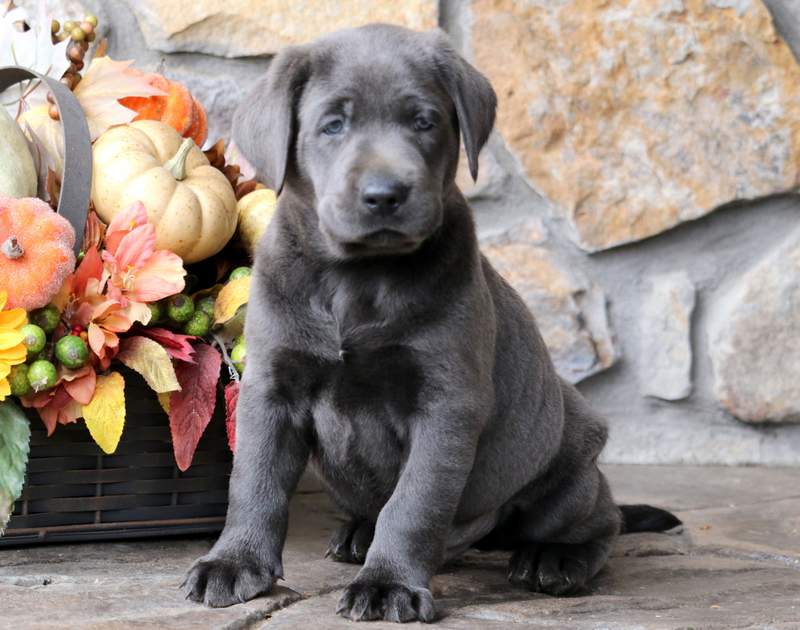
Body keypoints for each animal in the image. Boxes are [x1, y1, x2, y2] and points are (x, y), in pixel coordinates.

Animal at [183, 23, 680, 624]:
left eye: (424, 121)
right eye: (333, 124)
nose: (384, 195)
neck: (359, 279)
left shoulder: (446, 405)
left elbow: (415, 504)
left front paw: (388, 584)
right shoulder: (272, 387)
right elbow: (254, 481)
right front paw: (233, 563)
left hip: (568, 465)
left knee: (602, 520)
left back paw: (555, 560)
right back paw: (358, 534)